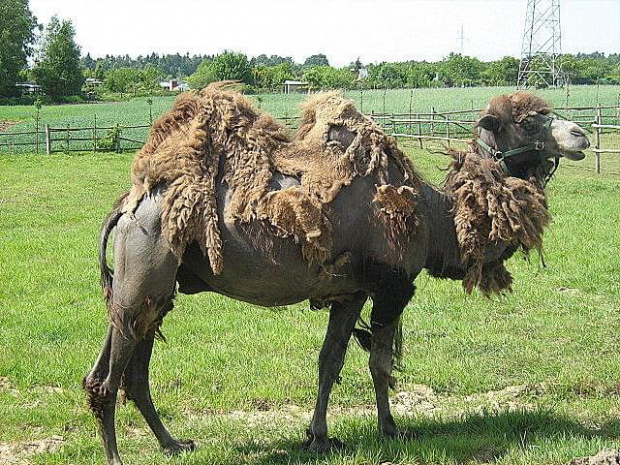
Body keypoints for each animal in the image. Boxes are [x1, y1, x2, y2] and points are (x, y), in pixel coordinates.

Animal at [83, 84, 592, 464]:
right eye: (527, 120)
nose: (581, 135)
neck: (436, 218)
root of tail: (126, 206)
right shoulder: (392, 286)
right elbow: (380, 362)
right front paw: (390, 428)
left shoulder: (350, 292)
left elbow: (330, 361)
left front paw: (320, 436)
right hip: (144, 272)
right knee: (113, 375)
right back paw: (116, 456)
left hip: (150, 288)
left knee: (125, 367)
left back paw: (174, 444)